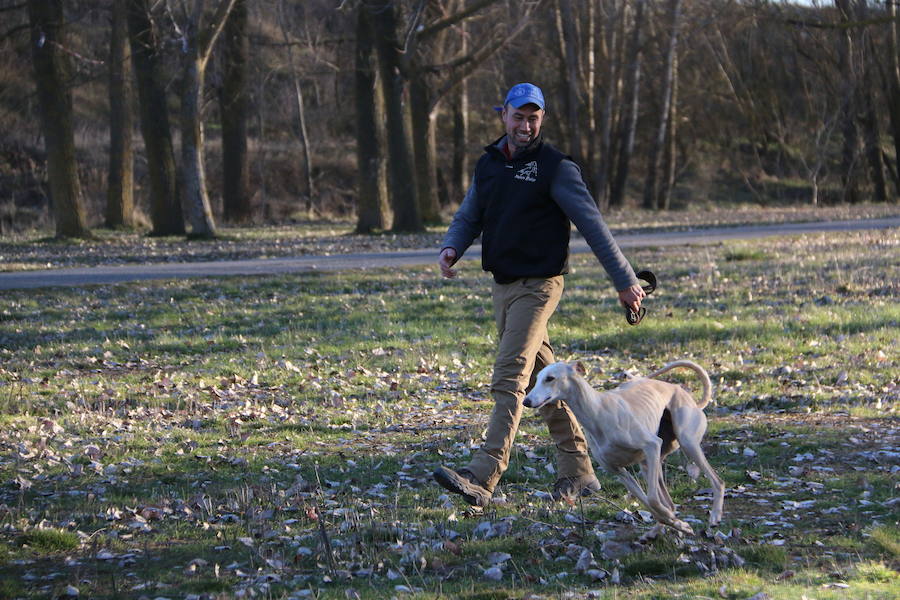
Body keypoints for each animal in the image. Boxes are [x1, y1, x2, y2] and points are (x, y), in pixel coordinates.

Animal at [520, 360, 724, 536]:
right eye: (537, 378)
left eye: (550, 378)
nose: (526, 401)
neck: (597, 412)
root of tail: (687, 396)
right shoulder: (619, 471)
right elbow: (650, 504)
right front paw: (677, 523)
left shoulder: (651, 445)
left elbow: (652, 499)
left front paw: (678, 523)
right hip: (649, 464)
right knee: (669, 502)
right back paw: (657, 530)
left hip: (687, 442)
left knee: (717, 481)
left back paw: (714, 516)